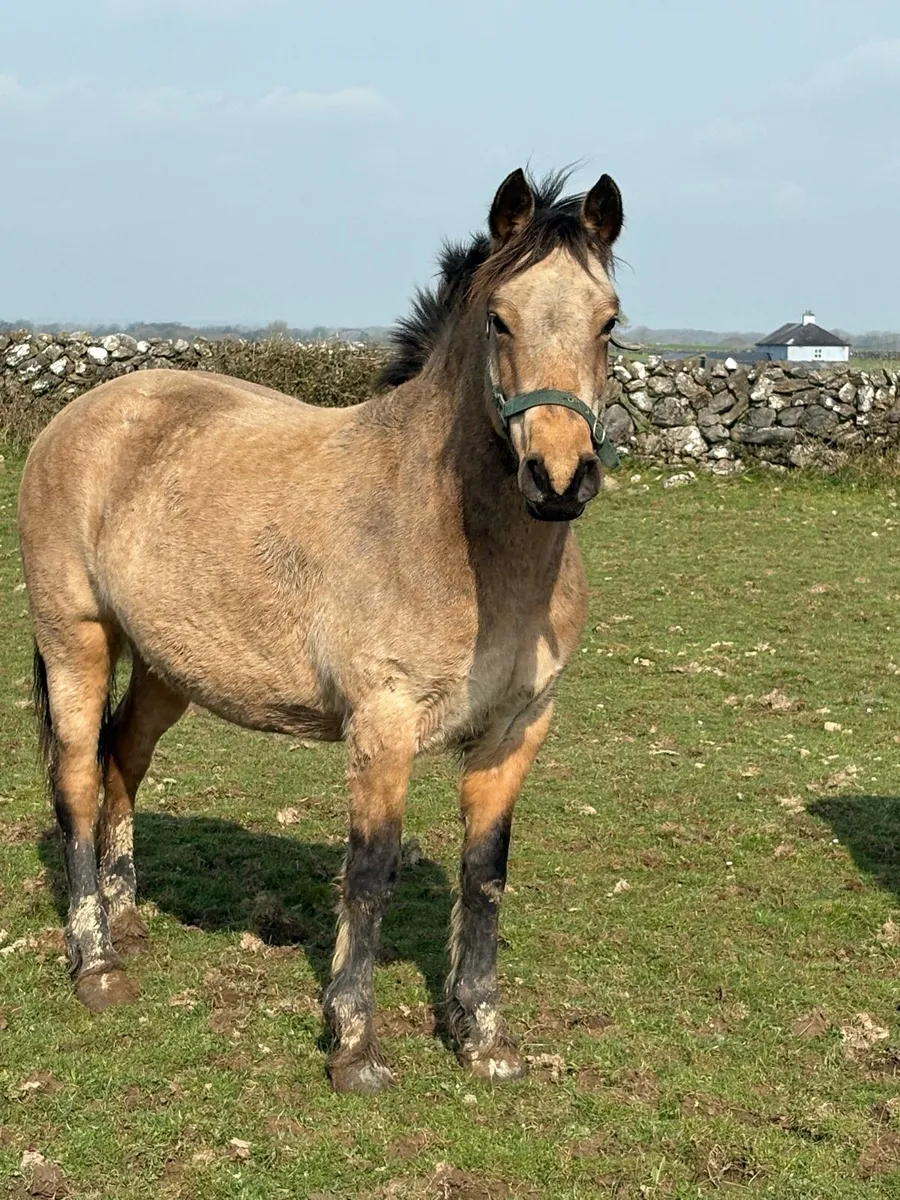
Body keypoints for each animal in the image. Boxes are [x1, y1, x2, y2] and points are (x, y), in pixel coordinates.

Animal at [18, 166, 624, 1094]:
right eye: (499, 318)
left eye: (610, 322)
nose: (558, 478)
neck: (447, 532)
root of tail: (80, 415)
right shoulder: (383, 726)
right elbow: (369, 876)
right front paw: (353, 1045)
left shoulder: (517, 731)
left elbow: (485, 877)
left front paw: (482, 1037)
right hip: (76, 642)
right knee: (78, 783)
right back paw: (97, 965)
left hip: (166, 668)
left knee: (123, 762)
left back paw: (128, 924)